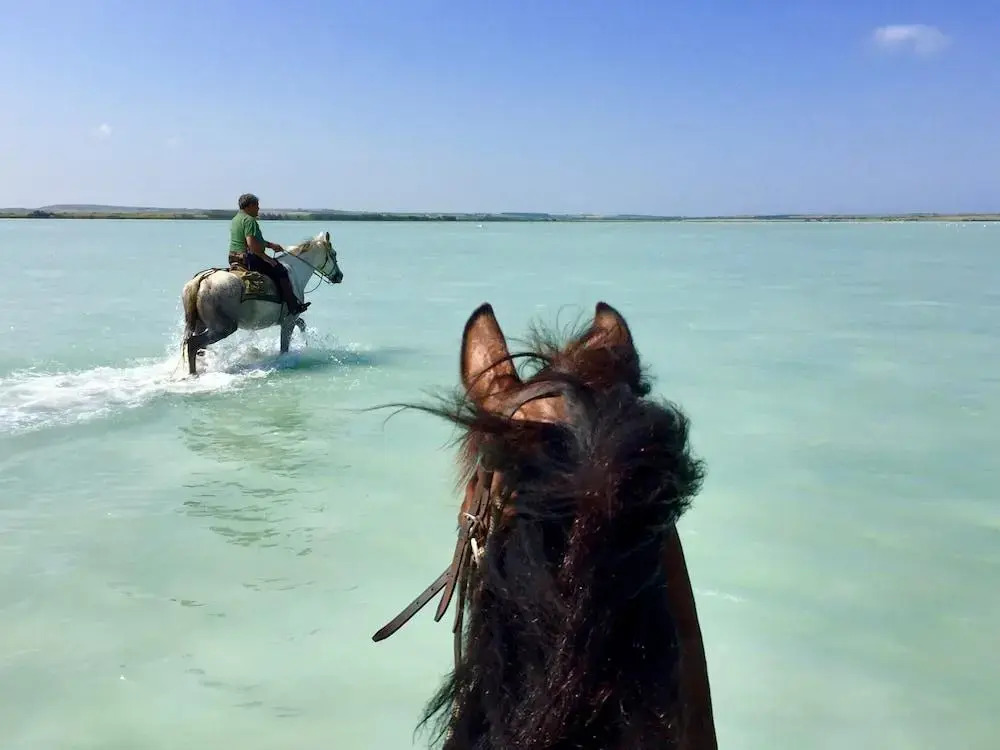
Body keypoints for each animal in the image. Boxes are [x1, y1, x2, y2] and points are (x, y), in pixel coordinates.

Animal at [180, 231, 344, 376]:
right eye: (334, 254)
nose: (339, 276)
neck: (295, 272)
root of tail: (201, 280)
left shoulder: (291, 317)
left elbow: (302, 324)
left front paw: (306, 344)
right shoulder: (289, 320)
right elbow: (284, 347)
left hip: (201, 324)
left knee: (197, 347)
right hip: (222, 328)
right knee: (193, 344)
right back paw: (193, 374)